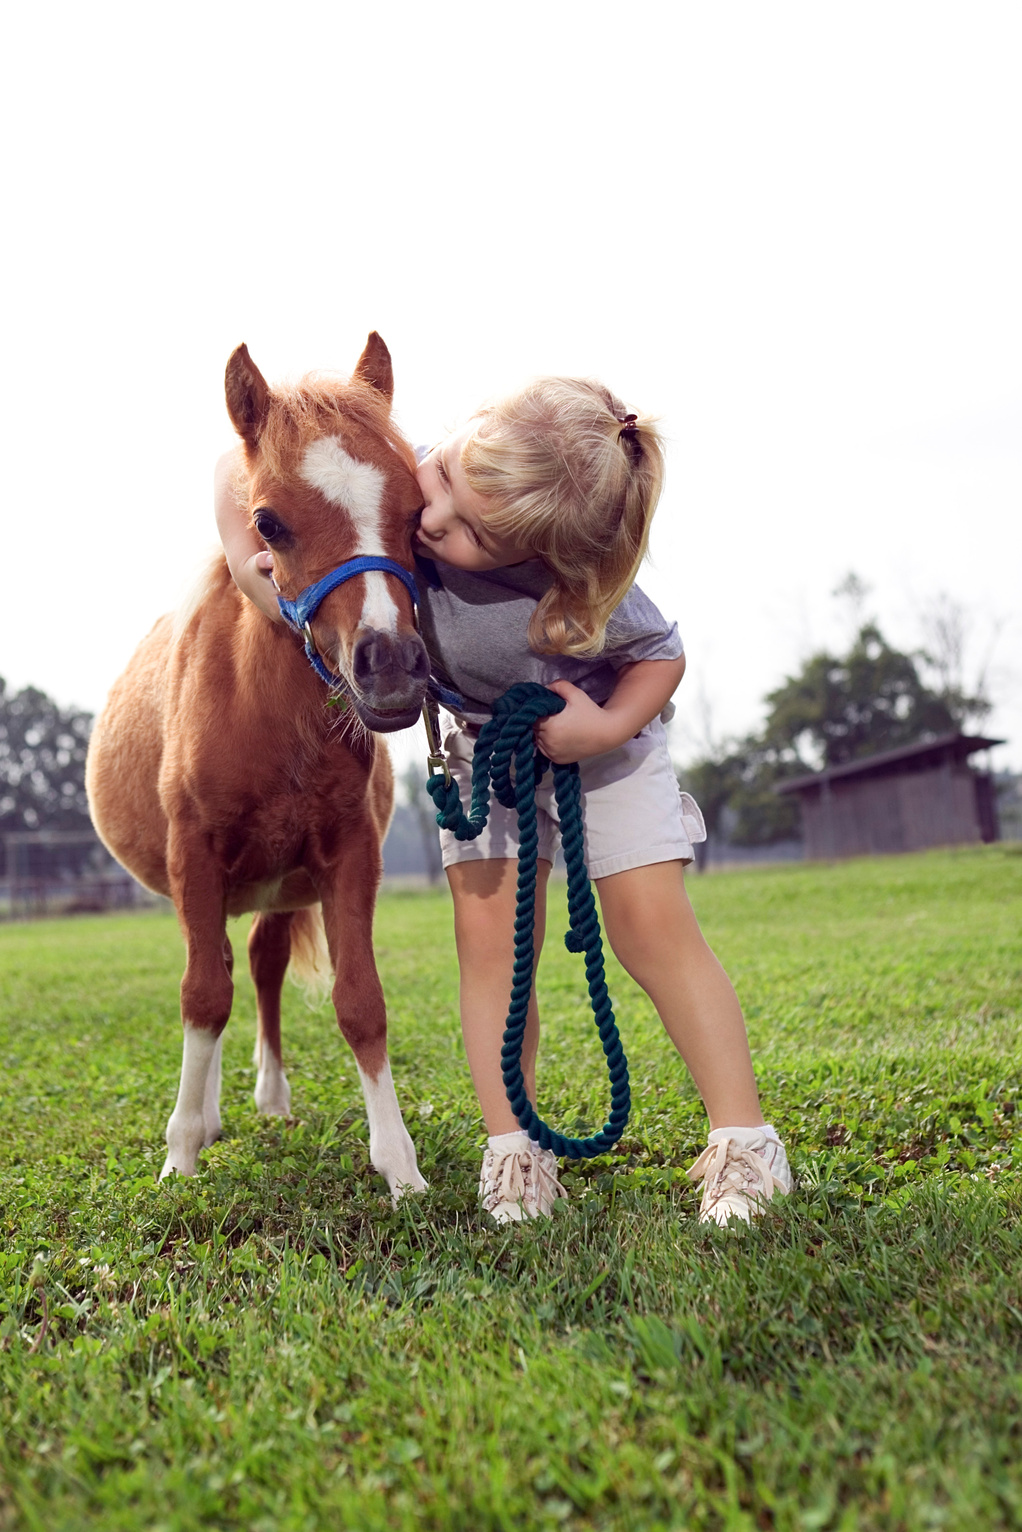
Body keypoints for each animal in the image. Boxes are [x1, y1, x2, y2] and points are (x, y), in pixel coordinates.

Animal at [83, 332, 429, 1194]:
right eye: (267, 520)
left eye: (416, 510)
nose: (391, 667)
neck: (264, 716)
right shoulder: (195, 857)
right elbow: (203, 996)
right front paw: (179, 1154)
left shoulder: (348, 856)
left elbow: (359, 1000)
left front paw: (399, 1166)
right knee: (217, 975)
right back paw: (204, 1117)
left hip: (279, 884)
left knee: (263, 966)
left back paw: (269, 1099)